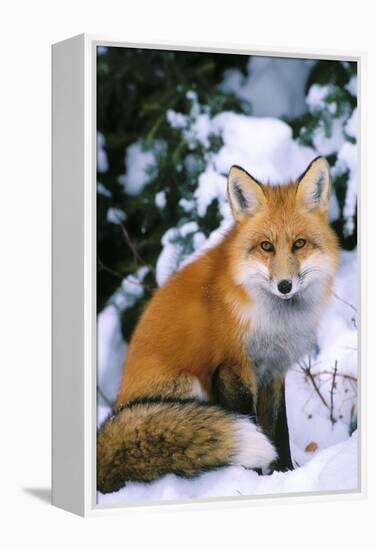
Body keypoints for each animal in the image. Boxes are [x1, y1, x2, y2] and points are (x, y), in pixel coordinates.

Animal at [96, 156, 338, 496]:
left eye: (299, 244)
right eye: (266, 246)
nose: (285, 286)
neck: (273, 320)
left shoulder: (272, 372)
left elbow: (280, 432)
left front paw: (285, 474)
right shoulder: (232, 369)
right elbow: (251, 422)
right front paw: (252, 481)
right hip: (188, 387)